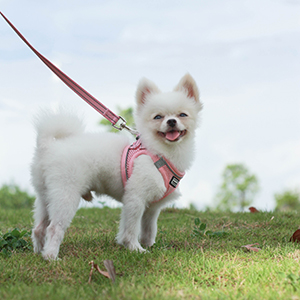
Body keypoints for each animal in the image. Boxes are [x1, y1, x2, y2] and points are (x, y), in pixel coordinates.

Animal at [31, 74, 202, 258]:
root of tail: (48, 146)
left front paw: (148, 245)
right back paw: (51, 256)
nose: (171, 121)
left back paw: (39, 252)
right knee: (54, 227)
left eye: (182, 114)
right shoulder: (135, 199)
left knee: (39, 228)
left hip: (46, 196)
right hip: (65, 194)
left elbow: (149, 228)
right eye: (158, 117)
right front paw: (134, 248)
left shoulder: (151, 207)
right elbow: (131, 228)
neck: (160, 152)